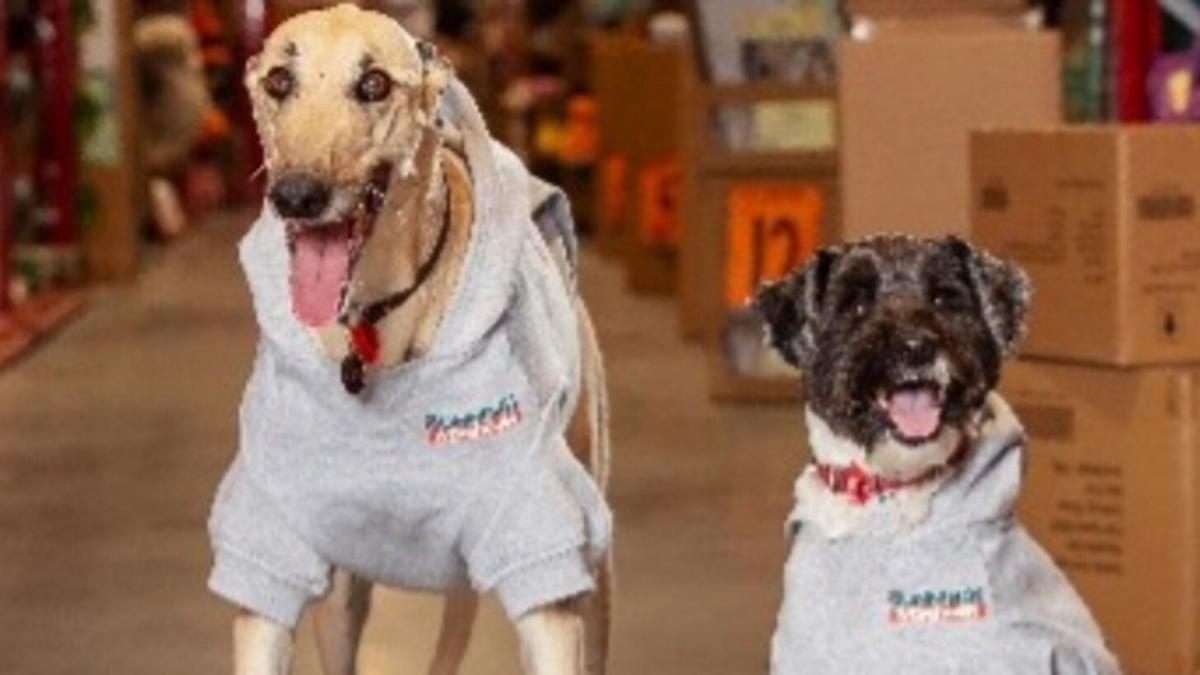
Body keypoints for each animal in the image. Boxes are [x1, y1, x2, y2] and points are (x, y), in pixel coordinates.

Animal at [206, 6, 612, 675]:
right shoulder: (272, 550)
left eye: (374, 84)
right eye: (278, 81)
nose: (297, 195)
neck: (372, 335)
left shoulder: (544, 559)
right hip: (341, 603)